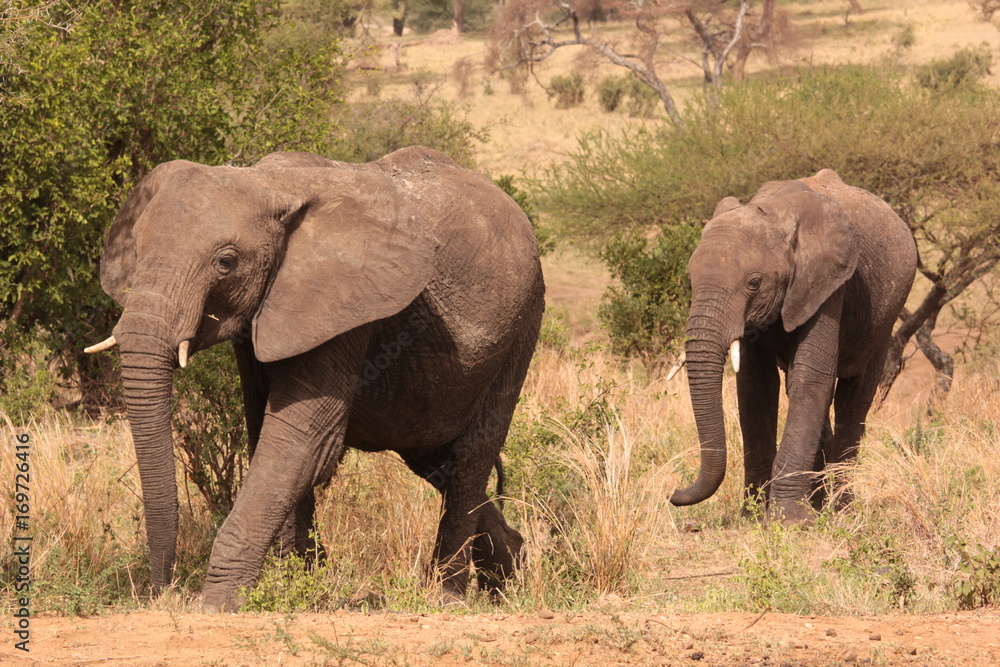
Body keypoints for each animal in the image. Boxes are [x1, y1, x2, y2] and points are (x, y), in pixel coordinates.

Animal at [86, 146, 548, 612]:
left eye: (226, 262)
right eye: (136, 252)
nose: (161, 591)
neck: (272, 184)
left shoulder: (345, 307)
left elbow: (300, 441)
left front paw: (221, 604)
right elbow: (267, 435)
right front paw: (298, 585)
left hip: (520, 326)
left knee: (471, 459)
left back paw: (446, 598)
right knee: (437, 460)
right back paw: (506, 574)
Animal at [672, 168, 916, 520]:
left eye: (754, 283)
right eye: (691, 281)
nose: (674, 494)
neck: (773, 213)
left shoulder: (828, 283)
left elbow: (809, 378)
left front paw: (788, 520)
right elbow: (755, 387)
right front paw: (753, 516)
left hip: (886, 318)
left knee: (854, 397)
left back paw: (841, 509)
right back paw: (817, 503)